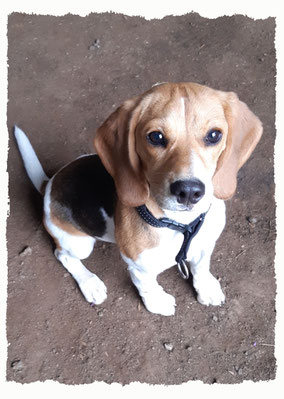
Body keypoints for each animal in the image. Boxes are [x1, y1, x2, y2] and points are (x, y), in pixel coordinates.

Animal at [13, 83, 262, 318]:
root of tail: (50, 183)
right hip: (79, 244)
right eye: (156, 137)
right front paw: (158, 302)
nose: (189, 191)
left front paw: (206, 288)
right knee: (63, 255)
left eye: (214, 135)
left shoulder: (205, 245)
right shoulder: (138, 266)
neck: (181, 226)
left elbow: (201, 266)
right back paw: (90, 283)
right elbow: (148, 286)